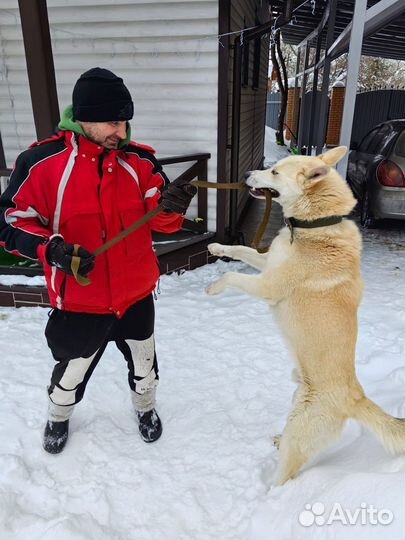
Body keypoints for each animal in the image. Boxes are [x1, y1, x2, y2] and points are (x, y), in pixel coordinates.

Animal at [207, 147, 402, 486]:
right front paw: (218, 246)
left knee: (285, 475)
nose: (246, 174)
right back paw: (278, 438)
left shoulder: (269, 285)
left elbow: (232, 275)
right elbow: (241, 251)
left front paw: (215, 287)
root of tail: (356, 396)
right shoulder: (267, 262)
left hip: (301, 428)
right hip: (296, 399)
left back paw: (270, 491)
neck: (314, 225)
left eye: (274, 172)